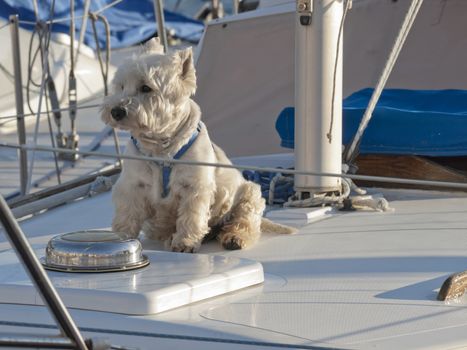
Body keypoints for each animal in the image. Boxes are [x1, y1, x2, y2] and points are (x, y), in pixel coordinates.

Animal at [101, 38, 296, 252]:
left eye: (146, 87)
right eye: (121, 86)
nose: (116, 111)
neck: (160, 148)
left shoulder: (195, 187)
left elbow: (191, 216)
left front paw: (185, 242)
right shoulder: (132, 185)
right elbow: (126, 215)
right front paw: (119, 238)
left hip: (249, 192)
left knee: (246, 221)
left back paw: (234, 237)